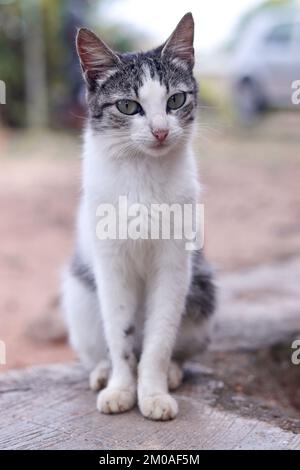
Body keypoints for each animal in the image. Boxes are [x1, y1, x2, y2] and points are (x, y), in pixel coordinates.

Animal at [61, 12, 216, 420]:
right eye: (129, 107)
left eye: (176, 100)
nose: (161, 131)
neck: (143, 174)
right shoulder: (111, 264)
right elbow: (121, 335)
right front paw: (120, 388)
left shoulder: (174, 264)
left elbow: (159, 339)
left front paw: (154, 392)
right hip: (79, 298)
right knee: (98, 347)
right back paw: (102, 372)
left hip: (203, 293)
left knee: (181, 347)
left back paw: (174, 372)